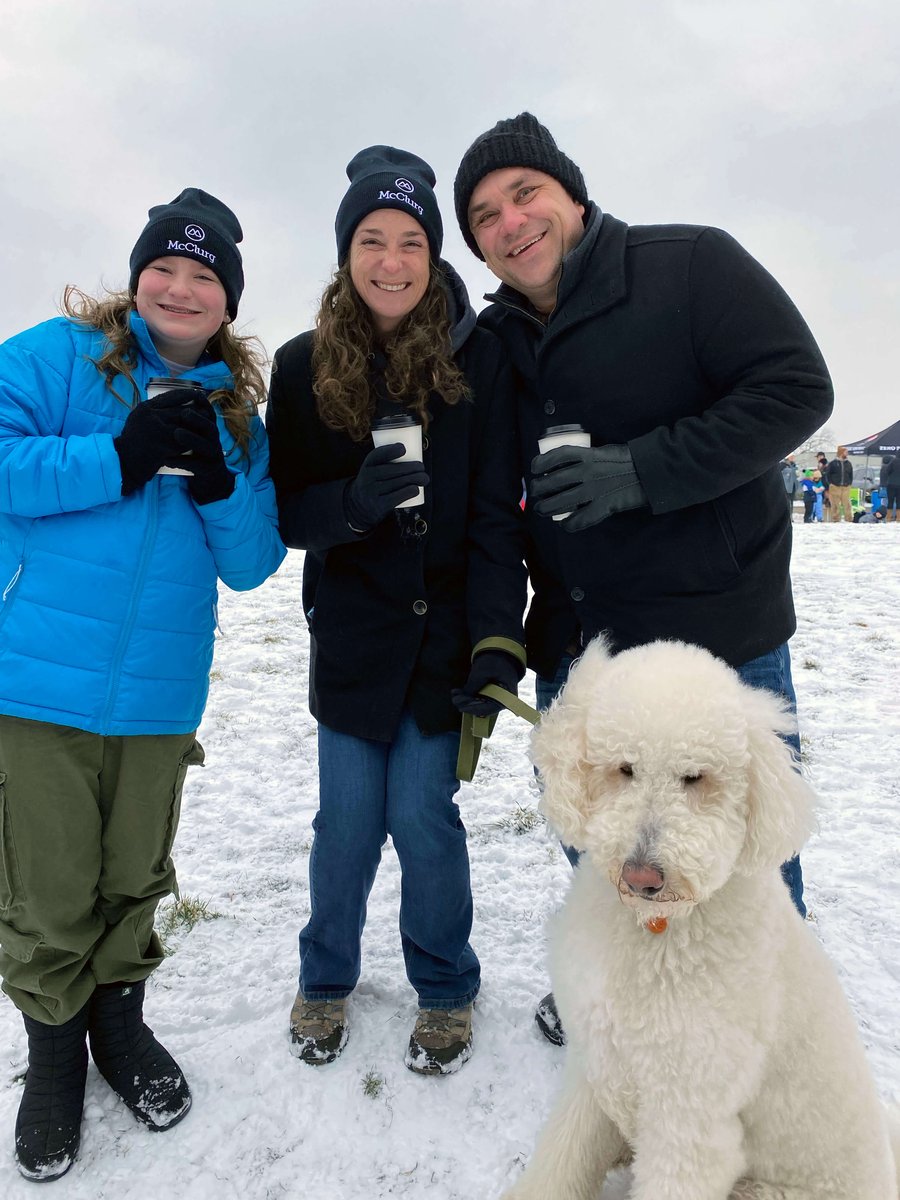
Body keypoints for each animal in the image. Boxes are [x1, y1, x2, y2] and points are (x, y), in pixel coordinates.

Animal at [504, 638, 897, 1200]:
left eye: (694, 778)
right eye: (625, 768)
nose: (643, 876)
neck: (657, 928)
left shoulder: (690, 1119)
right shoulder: (596, 1066)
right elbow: (561, 1158)